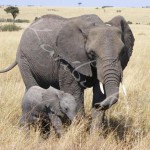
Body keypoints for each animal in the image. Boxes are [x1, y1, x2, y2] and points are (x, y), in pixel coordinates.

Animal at [0, 13, 135, 126]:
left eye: (122, 52)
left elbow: (99, 93)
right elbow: (73, 92)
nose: (97, 106)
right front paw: (79, 130)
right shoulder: (66, 61)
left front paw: (95, 135)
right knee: (33, 86)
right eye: (91, 53)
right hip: (23, 59)